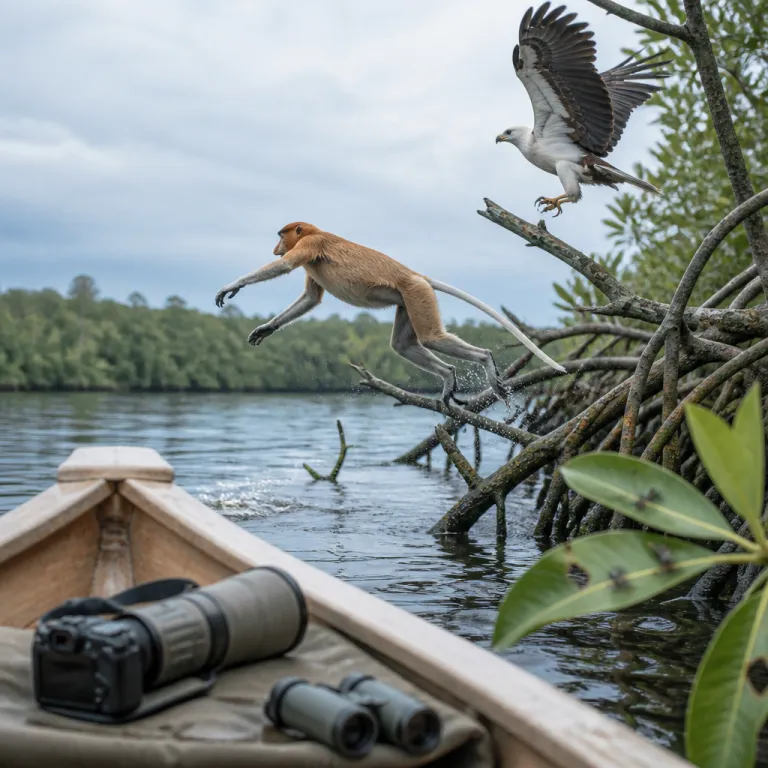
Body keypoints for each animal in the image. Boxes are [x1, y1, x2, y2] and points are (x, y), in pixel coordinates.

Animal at [214, 222, 565, 406]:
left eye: (281, 235)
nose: (275, 247)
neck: (314, 230)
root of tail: (417, 275)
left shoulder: (311, 244)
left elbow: (287, 266)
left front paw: (232, 286)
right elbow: (310, 299)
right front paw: (265, 329)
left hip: (416, 293)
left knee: (431, 337)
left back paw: (486, 361)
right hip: (408, 301)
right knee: (403, 345)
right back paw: (449, 378)